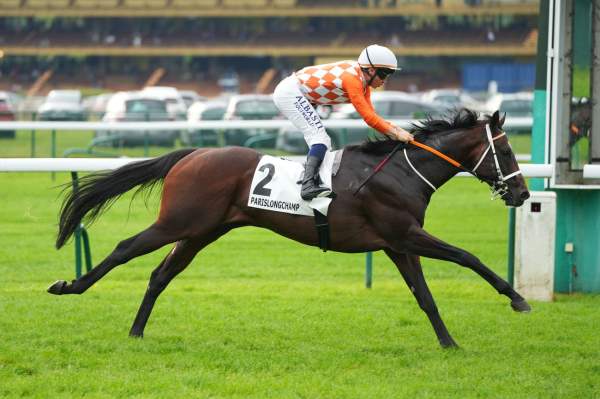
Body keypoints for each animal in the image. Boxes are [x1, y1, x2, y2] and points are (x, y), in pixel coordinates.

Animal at [50, 108, 528, 346]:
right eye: (505, 152)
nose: (522, 194)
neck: (400, 172)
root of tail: (192, 153)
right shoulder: (404, 233)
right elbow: (467, 256)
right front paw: (517, 298)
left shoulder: (397, 243)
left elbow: (424, 296)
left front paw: (449, 343)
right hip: (178, 221)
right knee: (125, 248)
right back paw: (69, 286)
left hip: (202, 231)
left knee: (160, 274)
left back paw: (136, 331)